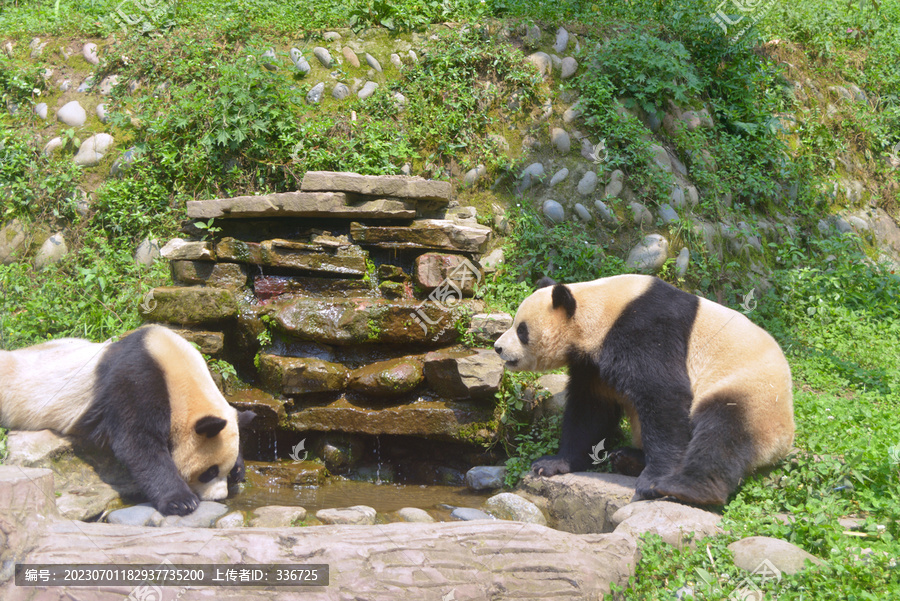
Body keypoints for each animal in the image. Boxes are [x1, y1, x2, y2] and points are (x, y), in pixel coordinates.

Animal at [0, 324, 255, 516]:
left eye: (225, 470)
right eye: (209, 472)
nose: (219, 497)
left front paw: (239, 469)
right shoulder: (136, 381)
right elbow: (138, 444)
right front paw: (182, 501)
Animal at [492, 274, 796, 504]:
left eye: (521, 330)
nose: (498, 347)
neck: (600, 309)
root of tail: (781, 446)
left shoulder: (646, 330)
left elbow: (663, 395)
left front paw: (652, 481)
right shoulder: (593, 364)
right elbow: (590, 411)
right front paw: (552, 463)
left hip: (751, 391)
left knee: (722, 433)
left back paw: (686, 489)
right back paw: (627, 458)